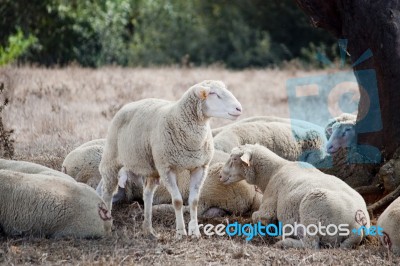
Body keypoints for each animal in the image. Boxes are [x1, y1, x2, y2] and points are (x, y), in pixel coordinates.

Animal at [220, 144, 370, 248]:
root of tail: (358, 223)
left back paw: (283, 242)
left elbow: (257, 216)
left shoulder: (269, 204)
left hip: (313, 209)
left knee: (310, 244)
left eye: (234, 159)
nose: (220, 176)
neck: (273, 172)